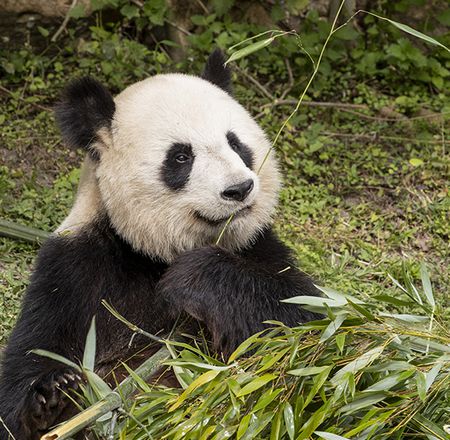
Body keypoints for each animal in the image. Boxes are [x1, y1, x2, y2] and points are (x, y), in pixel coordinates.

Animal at [0, 49, 324, 438]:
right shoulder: (73, 269)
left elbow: (308, 322)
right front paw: (51, 395)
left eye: (235, 143)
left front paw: (193, 276)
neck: (153, 253)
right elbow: (24, 375)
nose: (239, 189)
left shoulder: (257, 246)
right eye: (181, 156)